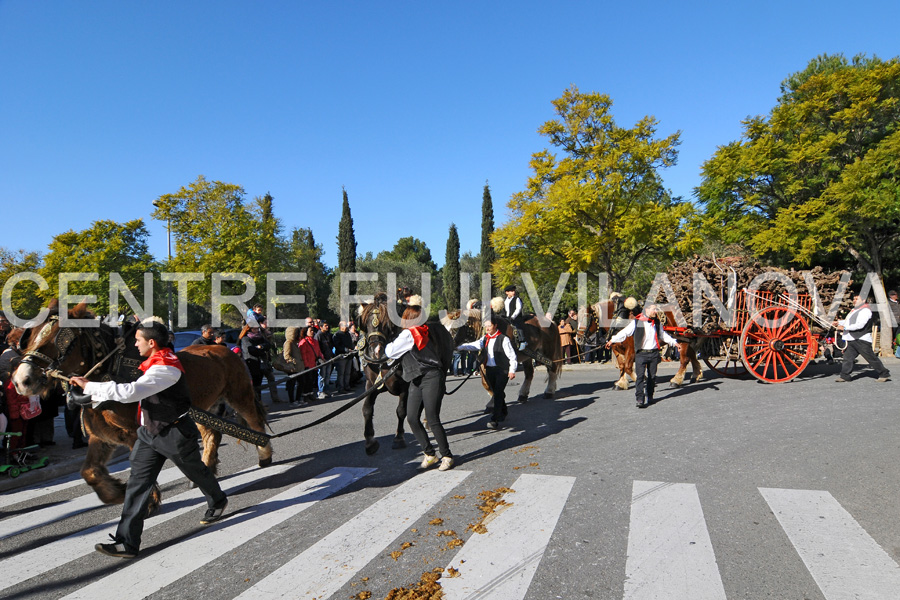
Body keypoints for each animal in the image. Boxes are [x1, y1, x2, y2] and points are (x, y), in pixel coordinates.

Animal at [12, 302, 272, 512]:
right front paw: (118, 493)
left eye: (61, 339)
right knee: (212, 435)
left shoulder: (134, 433)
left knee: (255, 423)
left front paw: (146, 500)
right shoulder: (102, 436)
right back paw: (206, 469)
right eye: (30, 337)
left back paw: (265, 455)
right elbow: (90, 472)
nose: (21, 380)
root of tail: (225, 349)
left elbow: (139, 467)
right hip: (206, 407)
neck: (111, 371)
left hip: (239, 395)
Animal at [356, 292, 454, 454]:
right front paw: (370, 441)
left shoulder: (406, 386)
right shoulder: (371, 384)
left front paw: (399, 438)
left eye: (387, 323)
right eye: (366, 322)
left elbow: (401, 411)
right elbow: (367, 409)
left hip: (443, 370)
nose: (376, 351)